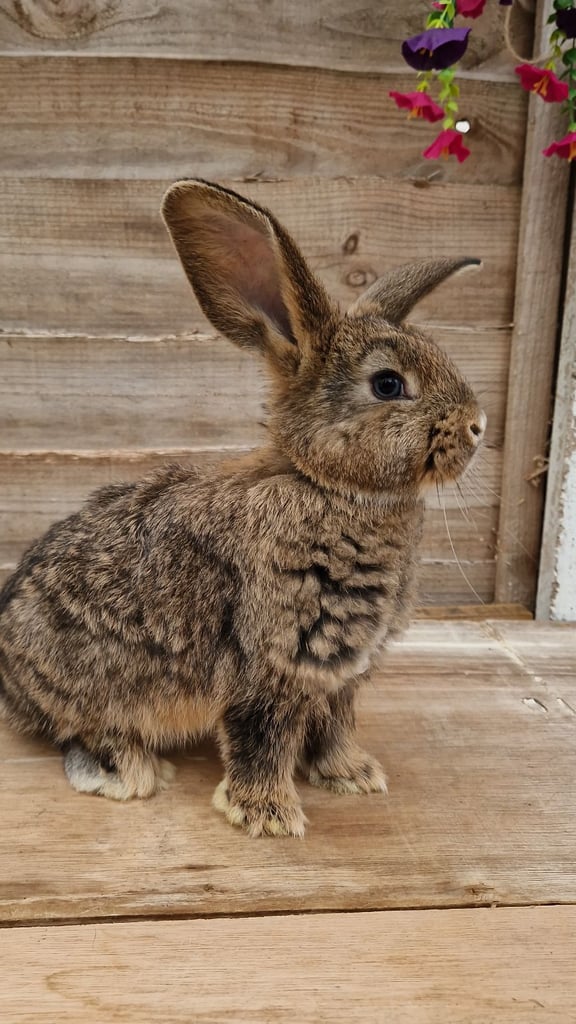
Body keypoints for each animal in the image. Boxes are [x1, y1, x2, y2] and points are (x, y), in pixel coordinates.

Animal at [0, 179, 486, 837]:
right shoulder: (271, 662)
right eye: (388, 384)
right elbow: (263, 738)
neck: (325, 484)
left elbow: (335, 725)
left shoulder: (340, 675)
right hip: (93, 684)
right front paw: (268, 815)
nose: (479, 425)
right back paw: (131, 772)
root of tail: (9, 678)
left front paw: (354, 776)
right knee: (81, 731)